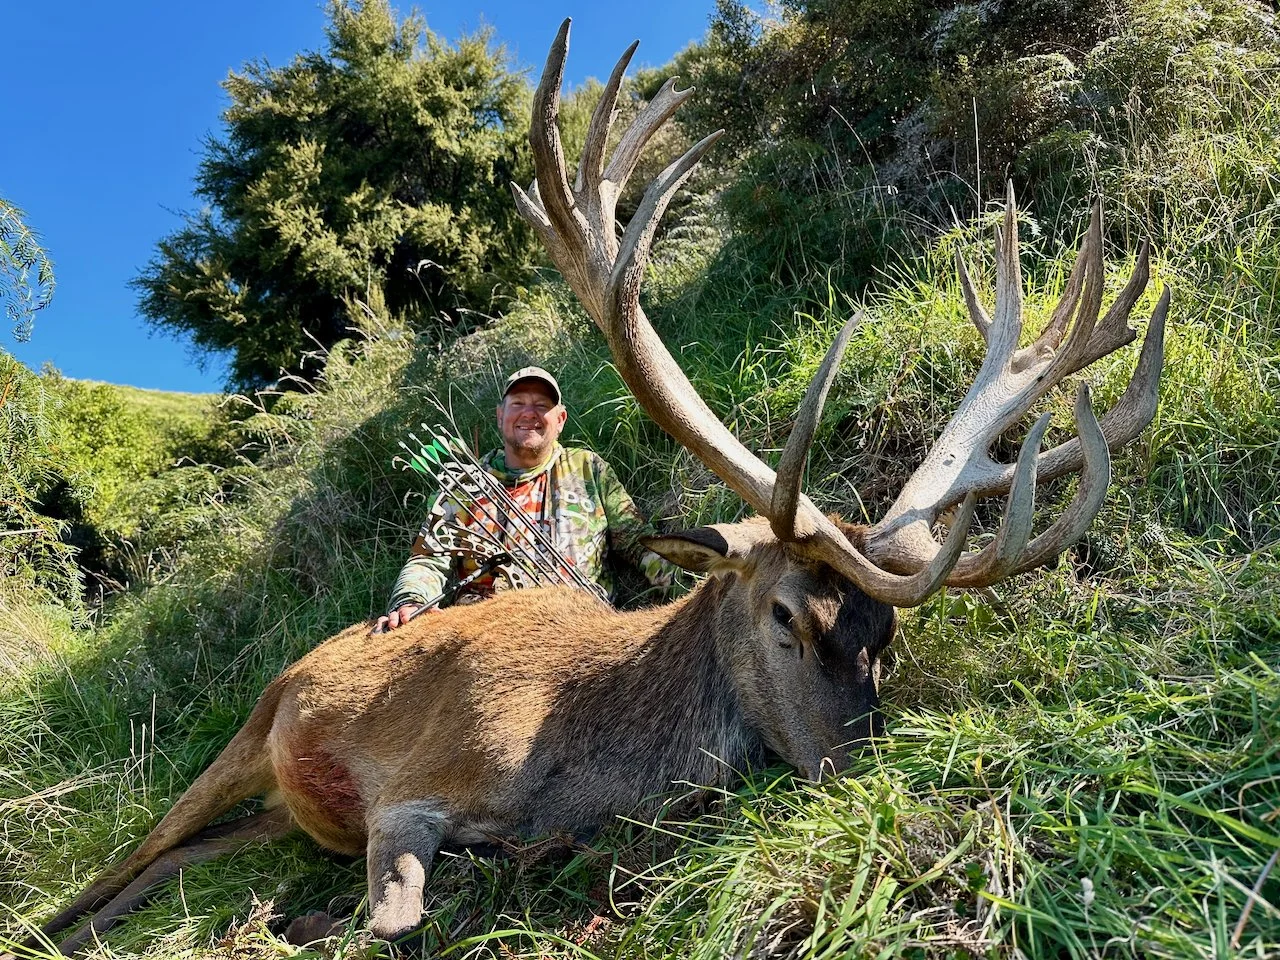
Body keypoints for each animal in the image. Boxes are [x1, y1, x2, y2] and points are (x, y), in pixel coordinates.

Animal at [5, 18, 1169, 957]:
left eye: (886, 636)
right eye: (786, 617)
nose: (863, 780)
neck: (579, 758)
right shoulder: (408, 789)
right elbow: (396, 915)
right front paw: (322, 918)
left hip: (278, 807)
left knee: (183, 855)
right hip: (253, 725)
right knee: (138, 846)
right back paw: (50, 922)